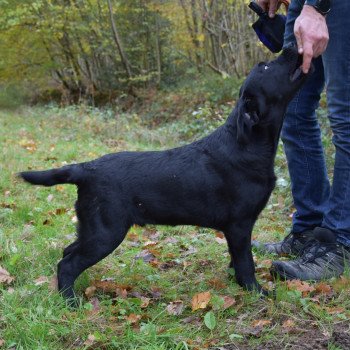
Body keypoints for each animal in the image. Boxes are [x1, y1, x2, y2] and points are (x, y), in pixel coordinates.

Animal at [19, 45, 308, 302]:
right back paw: (70, 301)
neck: (247, 144)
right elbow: (246, 262)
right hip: (106, 231)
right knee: (68, 263)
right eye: (266, 67)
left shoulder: (234, 229)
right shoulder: (239, 224)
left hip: (92, 228)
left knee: (67, 252)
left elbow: (236, 260)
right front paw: (257, 292)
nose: (291, 45)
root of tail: (85, 167)